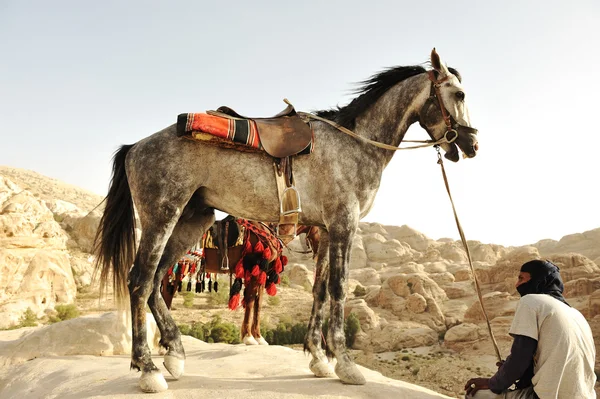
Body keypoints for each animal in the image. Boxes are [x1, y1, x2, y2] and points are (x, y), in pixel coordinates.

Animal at [94, 48, 478, 392]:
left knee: (157, 281)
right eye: (459, 94)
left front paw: (319, 359)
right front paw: (346, 364)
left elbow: (320, 291)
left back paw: (174, 355)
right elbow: (339, 289)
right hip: (162, 216)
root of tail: (134, 147)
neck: (356, 144)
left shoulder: (324, 231)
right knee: (140, 280)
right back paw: (148, 369)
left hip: (192, 220)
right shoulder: (344, 224)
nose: (472, 145)